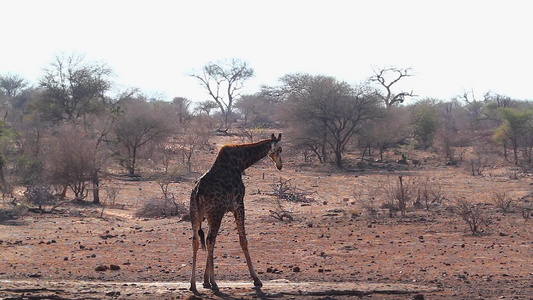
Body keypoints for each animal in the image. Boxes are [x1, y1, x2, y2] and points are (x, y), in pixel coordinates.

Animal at [190, 134, 282, 292]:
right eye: (280, 149)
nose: (280, 165)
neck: (240, 163)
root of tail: (197, 192)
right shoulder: (238, 204)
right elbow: (243, 240)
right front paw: (256, 279)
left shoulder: (217, 212)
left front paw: (205, 281)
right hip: (215, 213)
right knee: (209, 239)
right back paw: (215, 283)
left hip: (196, 214)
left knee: (197, 240)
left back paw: (193, 284)